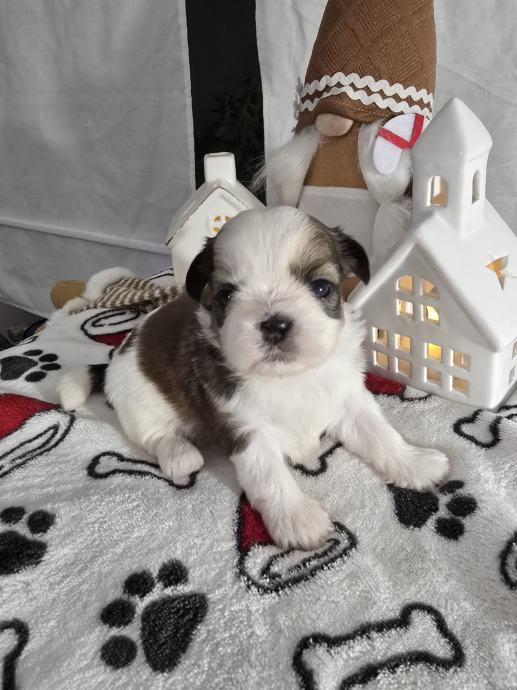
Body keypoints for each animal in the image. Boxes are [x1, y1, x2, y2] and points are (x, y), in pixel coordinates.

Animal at [59, 207, 449, 550]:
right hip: (138, 401)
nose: (274, 324)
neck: (288, 377)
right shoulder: (244, 428)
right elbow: (269, 475)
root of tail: (115, 357)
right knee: (153, 435)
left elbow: (380, 434)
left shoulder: (348, 397)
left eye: (321, 287)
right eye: (227, 294)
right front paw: (297, 519)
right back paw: (180, 454)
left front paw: (414, 462)